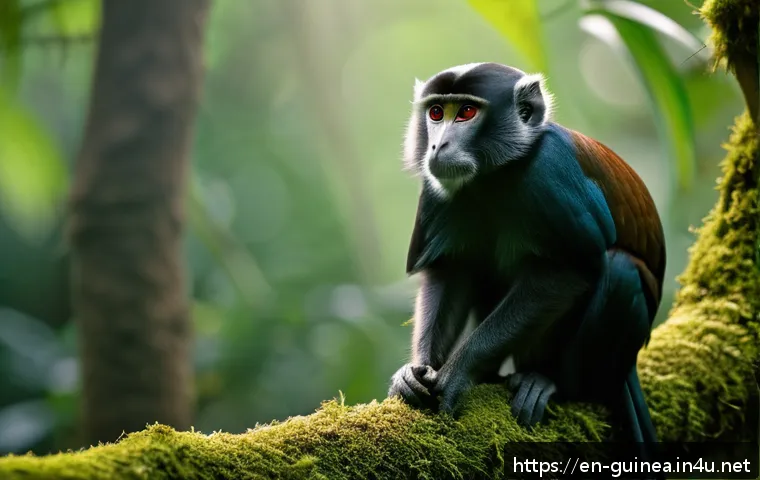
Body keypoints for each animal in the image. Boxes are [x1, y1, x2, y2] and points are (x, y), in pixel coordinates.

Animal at [387, 62, 664, 452]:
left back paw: (552, 383)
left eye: (466, 112)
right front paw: (417, 372)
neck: (494, 175)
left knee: (622, 270)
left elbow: (569, 271)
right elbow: (450, 271)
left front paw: (459, 370)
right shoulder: (437, 183)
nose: (437, 145)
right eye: (436, 113)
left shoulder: (550, 169)